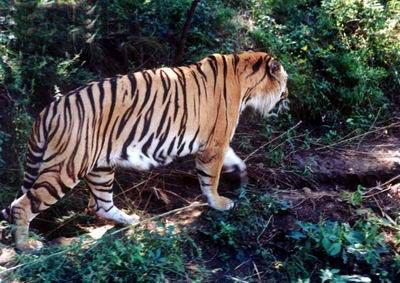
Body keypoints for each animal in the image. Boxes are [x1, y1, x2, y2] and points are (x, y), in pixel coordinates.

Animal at [0, 51, 288, 251]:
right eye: (284, 87)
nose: (287, 102)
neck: (246, 81)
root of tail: (47, 111)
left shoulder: (218, 143)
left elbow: (235, 161)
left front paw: (240, 177)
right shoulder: (214, 143)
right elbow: (210, 179)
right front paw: (219, 203)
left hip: (100, 168)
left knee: (100, 204)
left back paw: (130, 220)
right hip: (66, 168)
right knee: (22, 205)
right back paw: (26, 247)